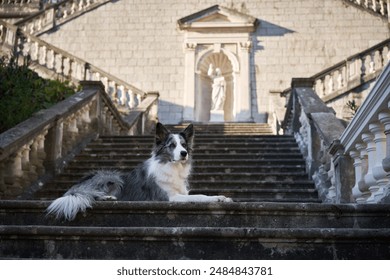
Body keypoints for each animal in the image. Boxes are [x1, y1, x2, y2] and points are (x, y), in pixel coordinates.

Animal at [47, 123, 233, 221]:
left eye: (184, 145)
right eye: (172, 145)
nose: (184, 153)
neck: (172, 167)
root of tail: (74, 188)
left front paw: (222, 197)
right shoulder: (170, 198)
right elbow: (199, 197)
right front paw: (217, 199)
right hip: (111, 176)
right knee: (90, 195)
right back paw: (108, 197)